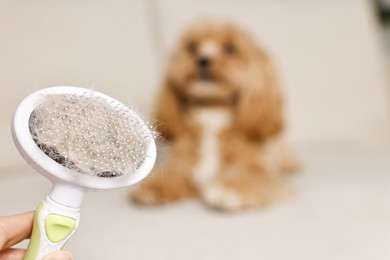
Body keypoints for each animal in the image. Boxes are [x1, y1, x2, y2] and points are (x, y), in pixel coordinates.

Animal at [132, 20, 298, 211]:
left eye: (230, 49)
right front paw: (155, 186)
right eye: (192, 47)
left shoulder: (262, 171)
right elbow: (173, 174)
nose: (202, 60)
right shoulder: (184, 167)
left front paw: (229, 189)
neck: (211, 112)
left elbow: (249, 177)